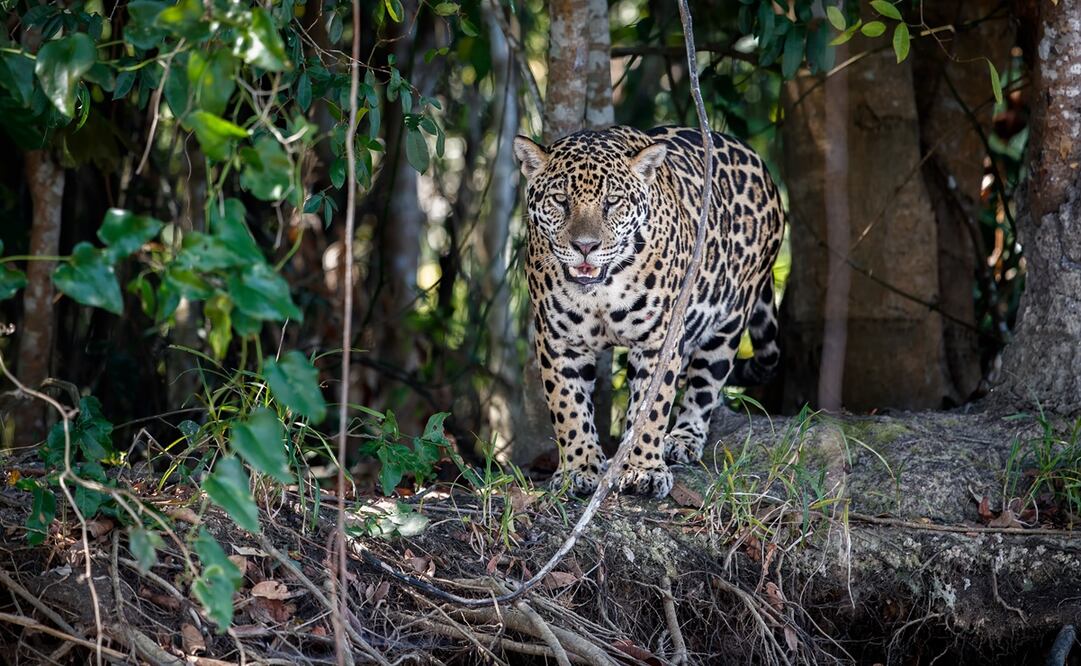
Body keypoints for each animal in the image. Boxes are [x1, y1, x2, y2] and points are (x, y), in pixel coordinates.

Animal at [513, 125, 785, 499]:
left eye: (612, 201)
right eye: (560, 200)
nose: (585, 246)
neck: (602, 289)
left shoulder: (660, 339)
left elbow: (651, 406)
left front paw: (644, 469)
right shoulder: (558, 340)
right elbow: (568, 406)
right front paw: (579, 468)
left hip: (729, 320)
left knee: (706, 383)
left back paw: (682, 439)